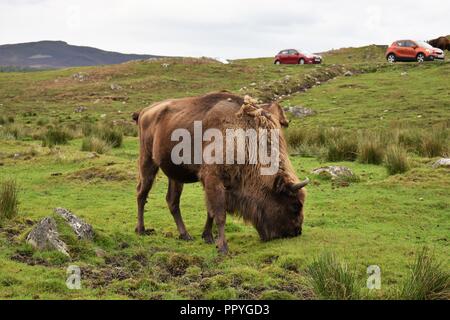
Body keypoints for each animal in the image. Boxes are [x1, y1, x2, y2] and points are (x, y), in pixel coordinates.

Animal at [132, 91, 308, 254]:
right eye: (295, 205)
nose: (296, 232)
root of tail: (145, 111)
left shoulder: (219, 184)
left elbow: (210, 211)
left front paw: (208, 237)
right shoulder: (213, 179)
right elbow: (219, 214)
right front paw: (223, 247)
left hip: (175, 175)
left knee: (172, 201)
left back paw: (185, 235)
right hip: (148, 161)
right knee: (142, 193)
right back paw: (141, 230)